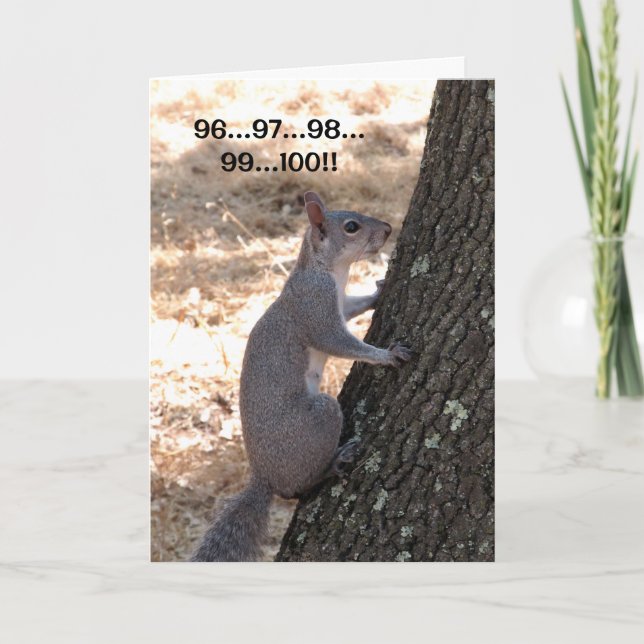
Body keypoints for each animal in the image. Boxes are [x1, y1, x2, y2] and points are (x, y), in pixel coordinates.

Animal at [190, 191, 412, 561]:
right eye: (351, 227)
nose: (387, 228)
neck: (326, 270)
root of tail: (265, 477)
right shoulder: (316, 310)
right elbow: (339, 341)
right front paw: (386, 355)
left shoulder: (338, 304)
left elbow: (354, 306)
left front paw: (378, 292)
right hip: (317, 420)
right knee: (297, 487)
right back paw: (334, 462)